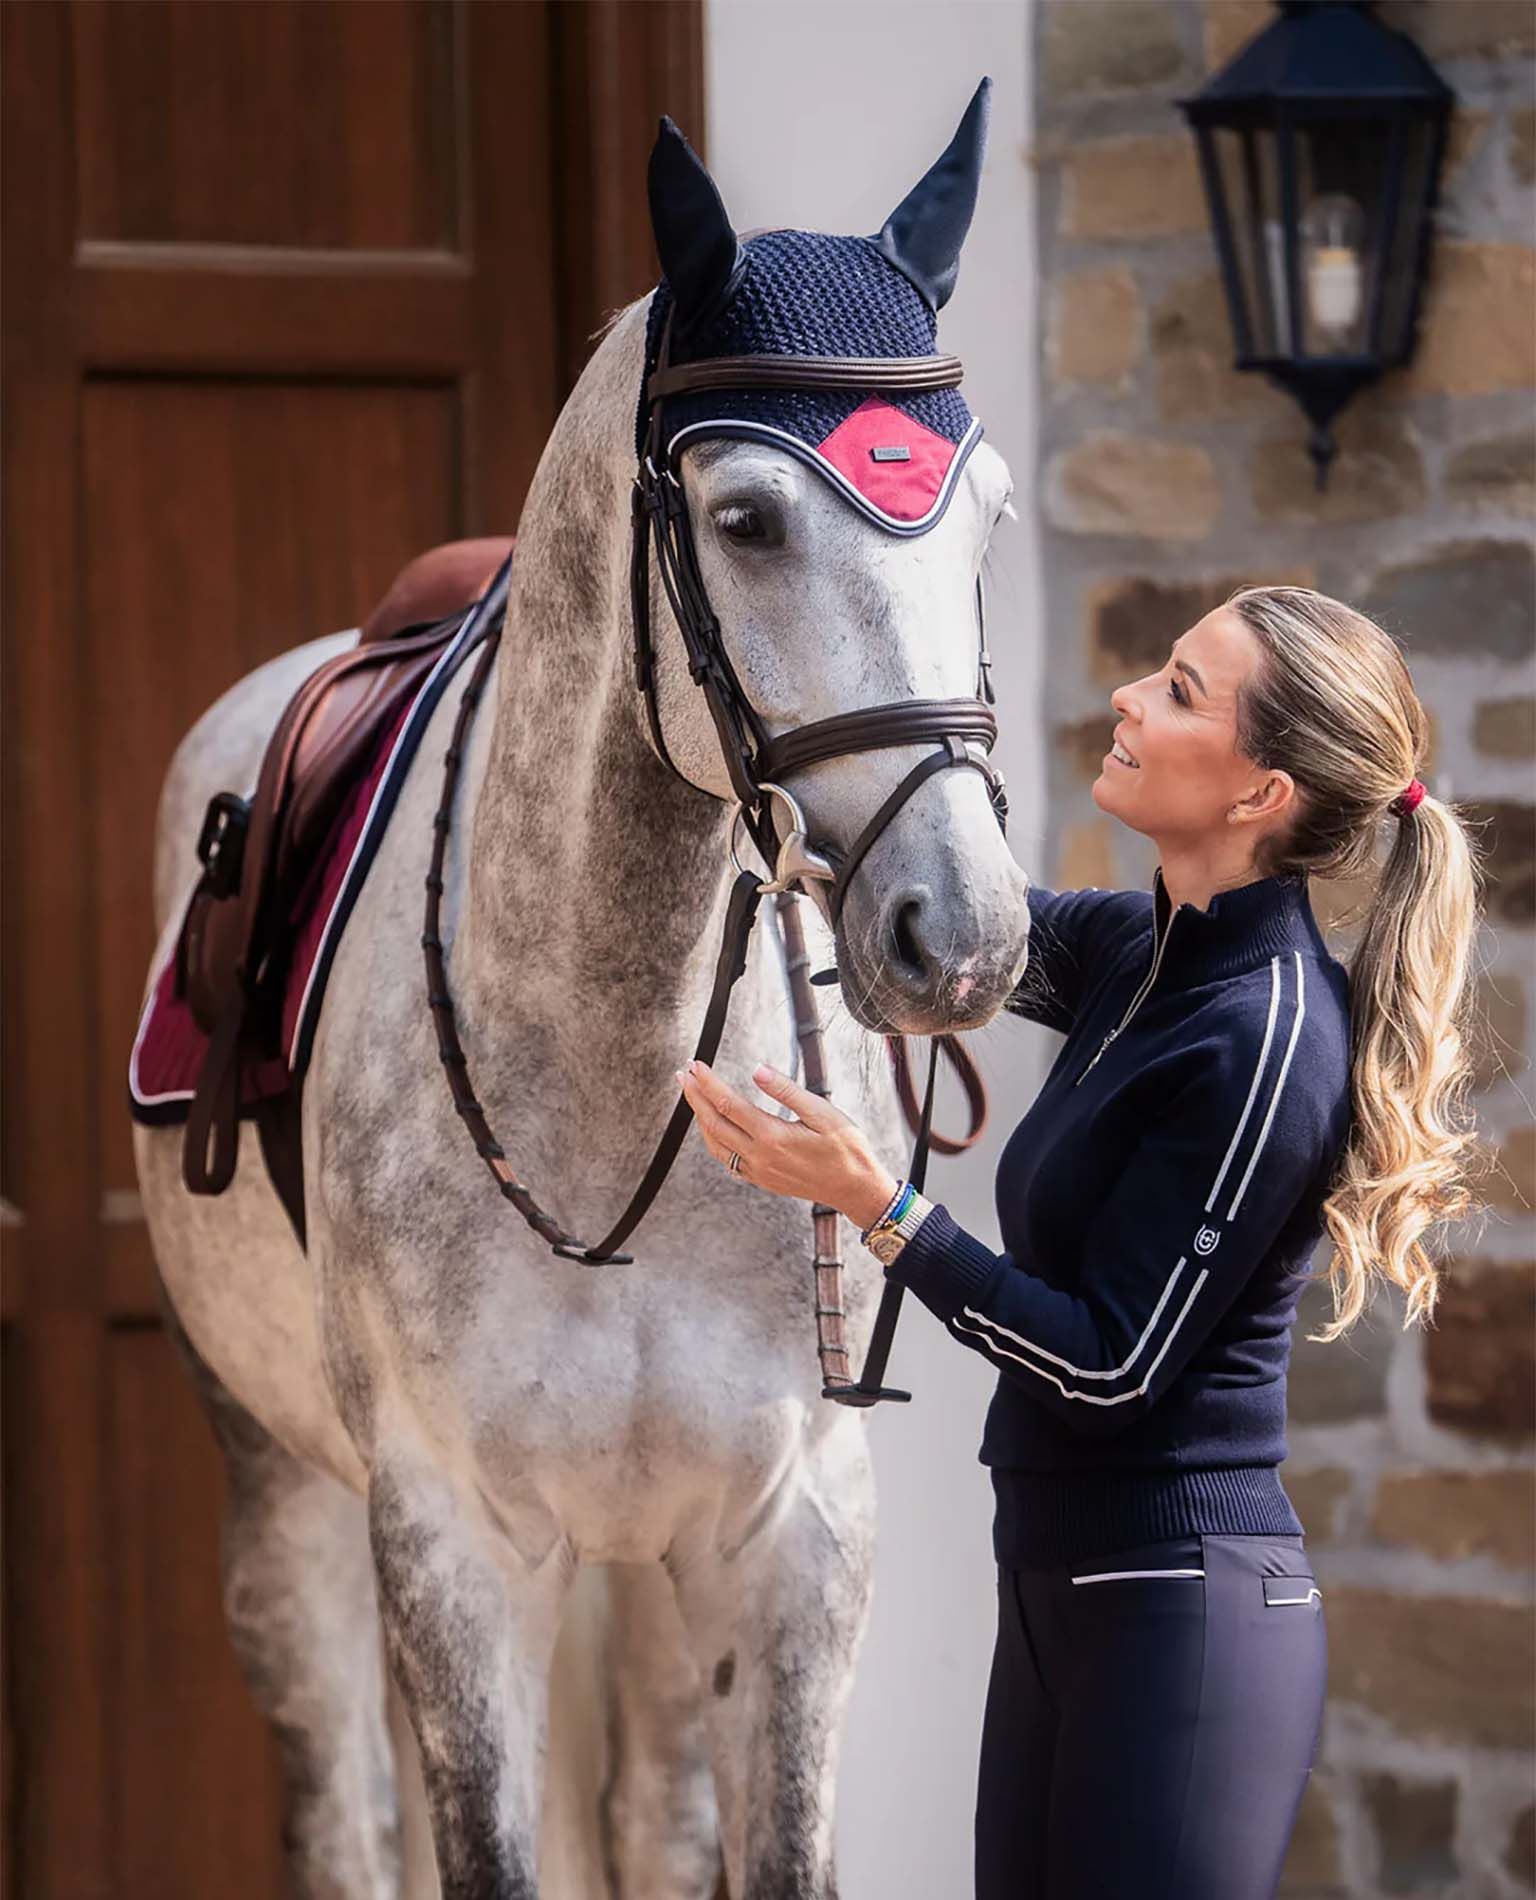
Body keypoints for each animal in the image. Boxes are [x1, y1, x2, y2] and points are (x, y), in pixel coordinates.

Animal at [130, 82, 1028, 1898]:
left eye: (982, 515)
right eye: (745, 518)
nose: (960, 930)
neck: (613, 1073)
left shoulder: (778, 1539)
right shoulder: (456, 1546)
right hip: (286, 1495)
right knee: (344, 1814)